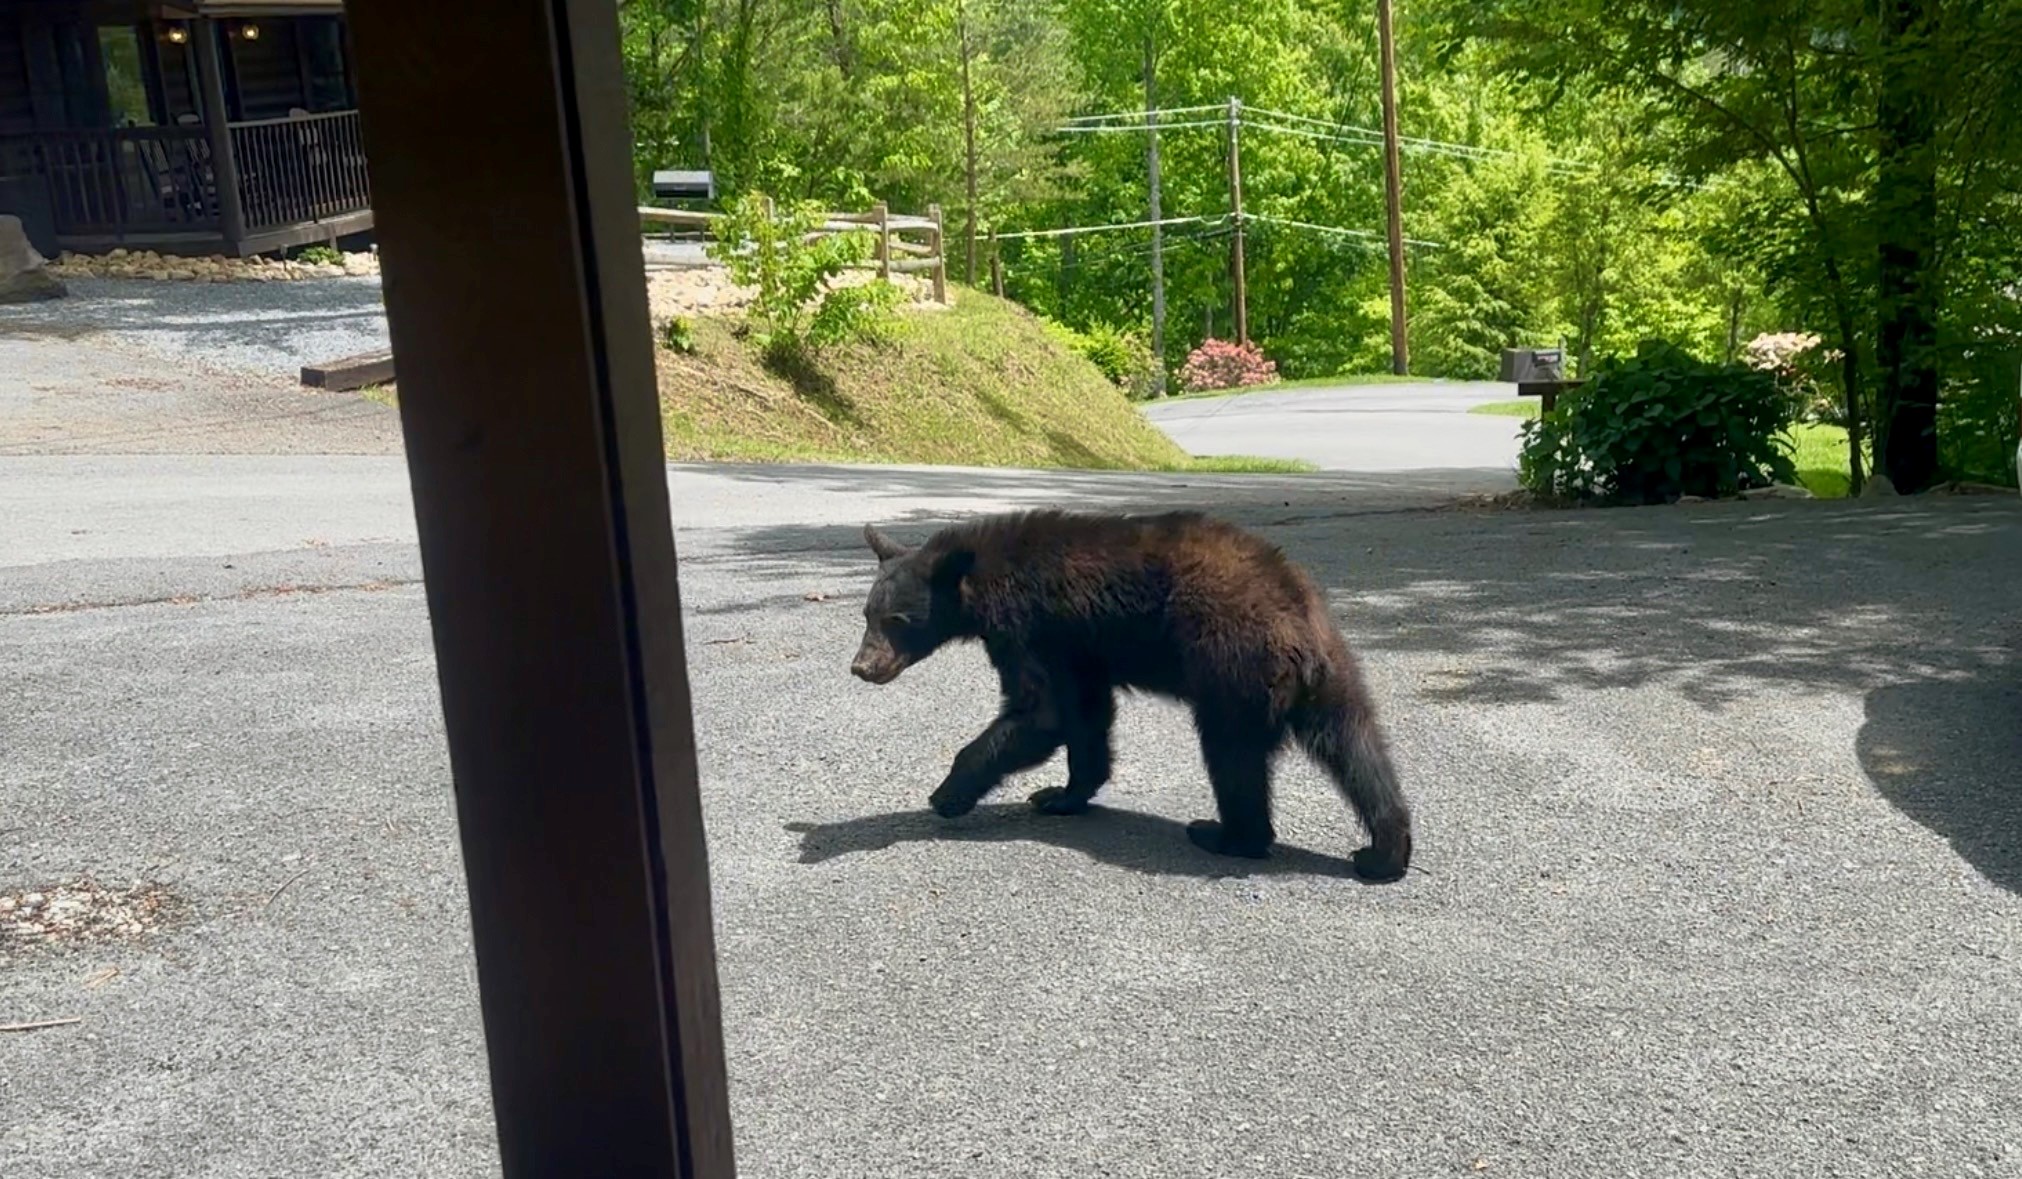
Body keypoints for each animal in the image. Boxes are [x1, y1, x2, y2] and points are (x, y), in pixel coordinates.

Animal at [848, 508, 1413, 882]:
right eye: (867, 614)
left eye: (897, 620)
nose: (862, 667)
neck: (983, 578)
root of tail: (1299, 628)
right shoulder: (1079, 648)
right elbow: (1085, 716)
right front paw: (1061, 795)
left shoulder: (1033, 627)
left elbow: (1041, 714)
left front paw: (947, 794)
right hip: (1336, 679)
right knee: (1362, 752)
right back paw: (1385, 851)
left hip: (1231, 664)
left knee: (1232, 756)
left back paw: (1226, 835)